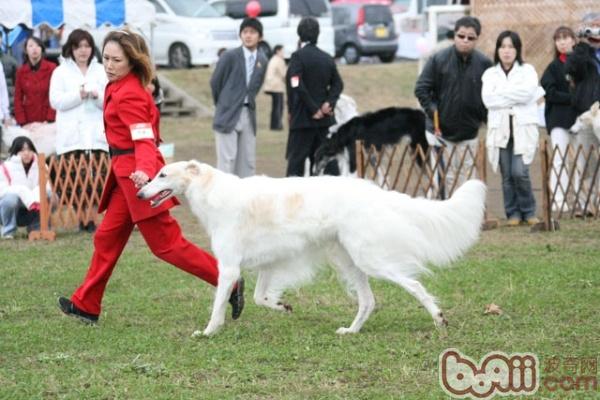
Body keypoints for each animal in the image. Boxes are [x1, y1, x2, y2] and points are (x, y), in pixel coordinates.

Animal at [137, 161, 488, 336]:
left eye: (162, 174)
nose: (139, 193)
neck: (212, 191)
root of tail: (374, 192)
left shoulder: (229, 266)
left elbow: (218, 307)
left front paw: (209, 331)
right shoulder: (269, 264)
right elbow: (260, 298)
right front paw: (283, 307)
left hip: (369, 259)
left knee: (414, 285)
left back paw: (438, 318)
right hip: (348, 261)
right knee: (369, 302)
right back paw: (351, 331)